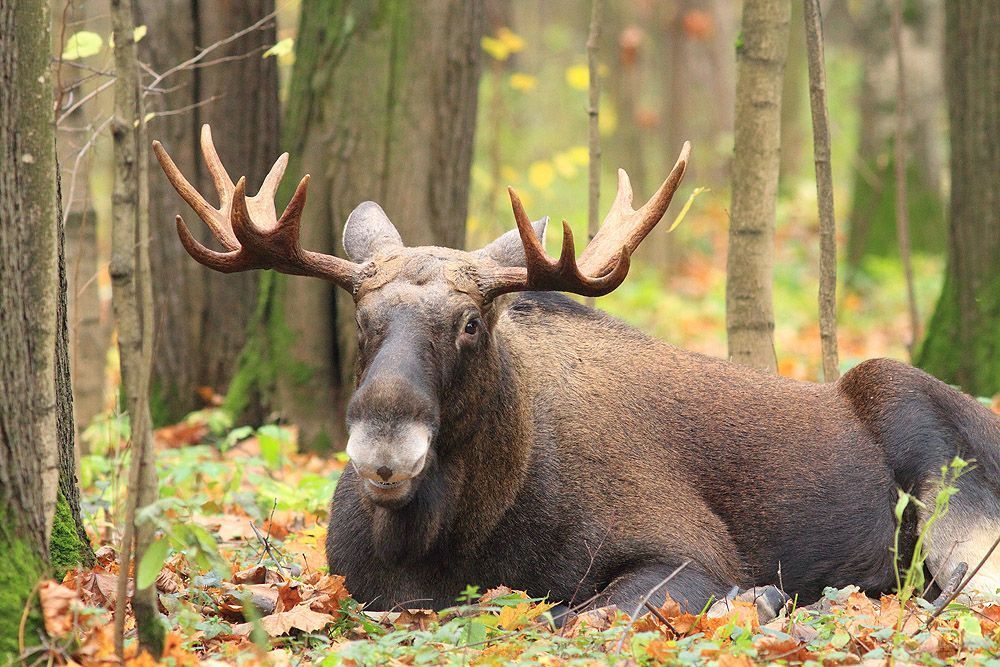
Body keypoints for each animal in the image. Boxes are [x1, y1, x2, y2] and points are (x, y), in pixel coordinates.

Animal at [154, 125, 1000, 622]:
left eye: (472, 322)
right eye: (361, 320)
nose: (384, 444)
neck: (446, 537)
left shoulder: (689, 551)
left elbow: (574, 612)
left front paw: (760, 596)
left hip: (934, 453)